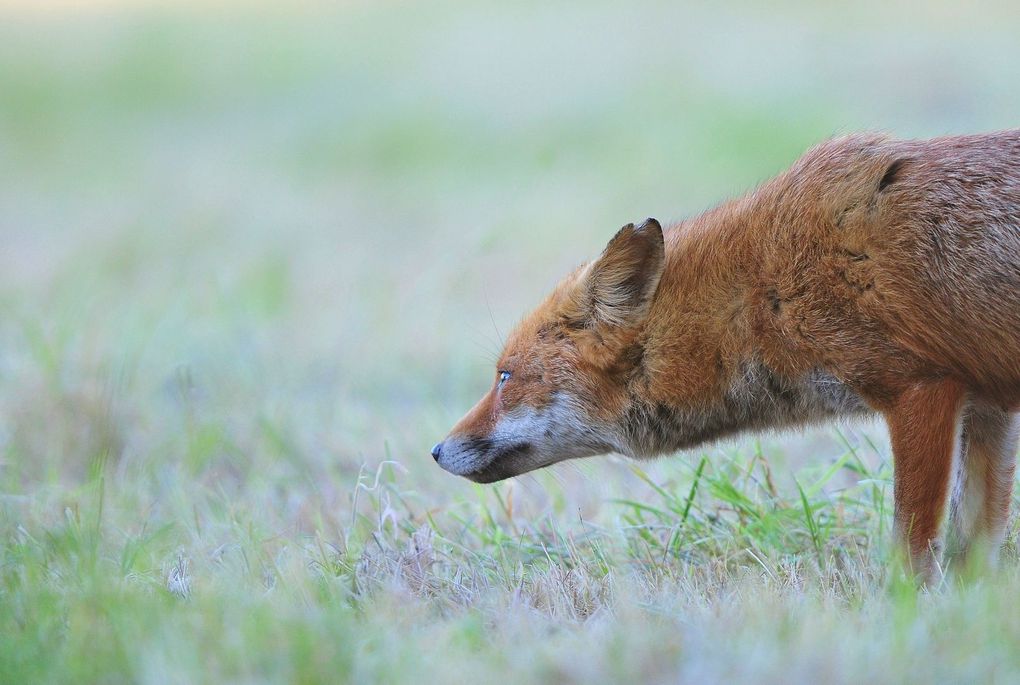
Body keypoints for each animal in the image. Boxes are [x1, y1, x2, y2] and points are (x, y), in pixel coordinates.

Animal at [430, 131, 1020, 578]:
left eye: (505, 377)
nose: (436, 450)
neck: (761, 287)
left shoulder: (920, 389)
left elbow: (912, 552)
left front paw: (898, 616)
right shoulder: (988, 406)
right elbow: (973, 553)